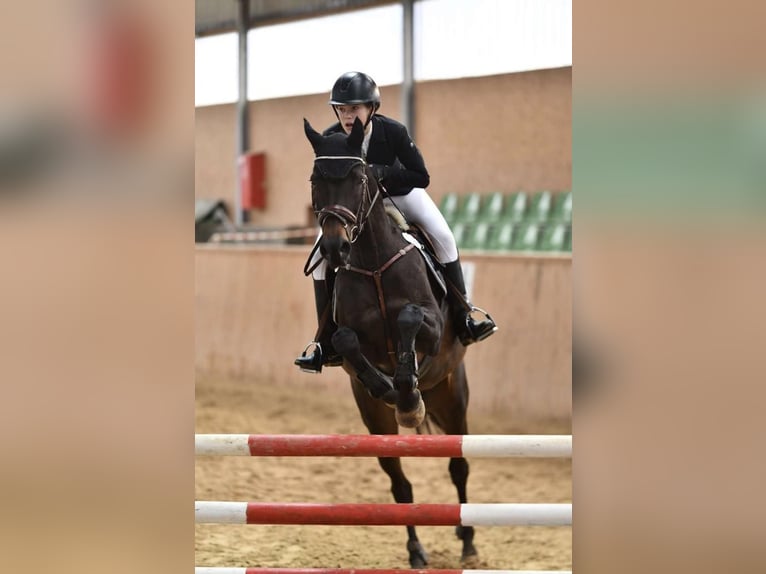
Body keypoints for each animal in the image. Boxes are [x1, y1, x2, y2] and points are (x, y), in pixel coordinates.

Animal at [304, 118, 476, 572]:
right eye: (315, 181)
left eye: (360, 178)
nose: (335, 248)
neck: (373, 261)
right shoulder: (348, 346)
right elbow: (345, 340)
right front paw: (391, 388)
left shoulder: (432, 326)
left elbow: (410, 319)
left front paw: (406, 390)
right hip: (375, 422)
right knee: (400, 484)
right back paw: (415, 549)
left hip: (452, 394)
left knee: (459, 467)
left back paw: (468, 539)